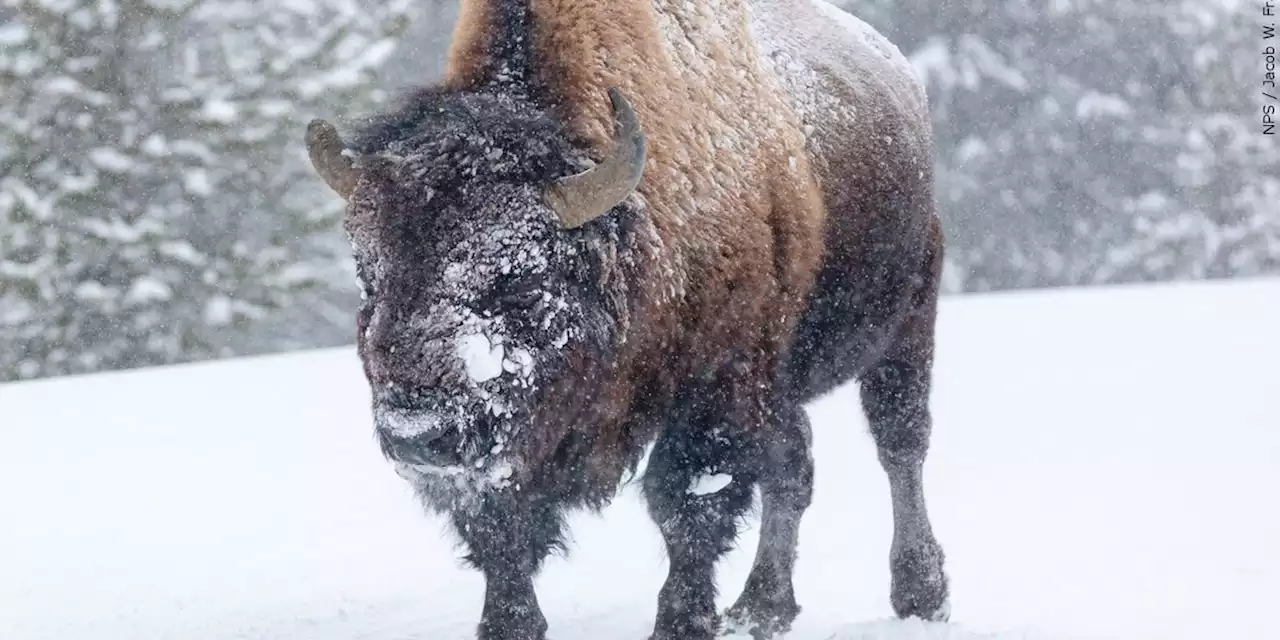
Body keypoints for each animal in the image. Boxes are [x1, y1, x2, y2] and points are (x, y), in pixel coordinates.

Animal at [307, 1, 952, 640]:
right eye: (368, 277)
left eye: (522, 284)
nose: (415, 435)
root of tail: (896, 69)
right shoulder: (505, 445)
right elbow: (501, 530)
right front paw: (508, 624)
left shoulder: (715, 389)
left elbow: (688, 506)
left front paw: (682, 622)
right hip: (784, 383)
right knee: (793, 469)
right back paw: (762, 608)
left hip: (908, 323)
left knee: (900, 443)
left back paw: (921, 593)